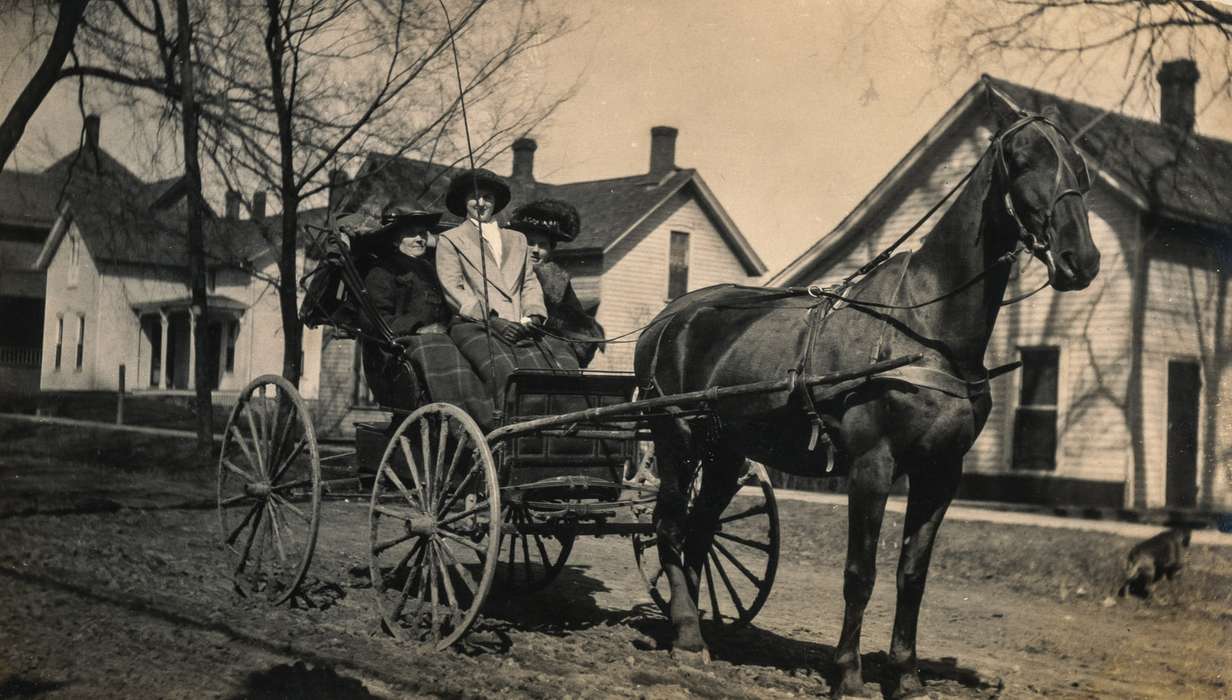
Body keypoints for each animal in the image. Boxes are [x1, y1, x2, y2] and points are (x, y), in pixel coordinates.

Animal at [635, 85, 1098, 695]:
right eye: (1023, 160)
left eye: (1080, 167)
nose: (1080, 260)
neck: (925, 329)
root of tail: (667, 318)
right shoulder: (871, 466)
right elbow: (861, 572)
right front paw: (849, 674)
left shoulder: (941, 472)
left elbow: (911, 575)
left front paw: (905, 675)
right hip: (676, 439)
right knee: (669, 525)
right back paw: (688, 636)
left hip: (725, 451)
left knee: (699, 529)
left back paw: (693, 627)